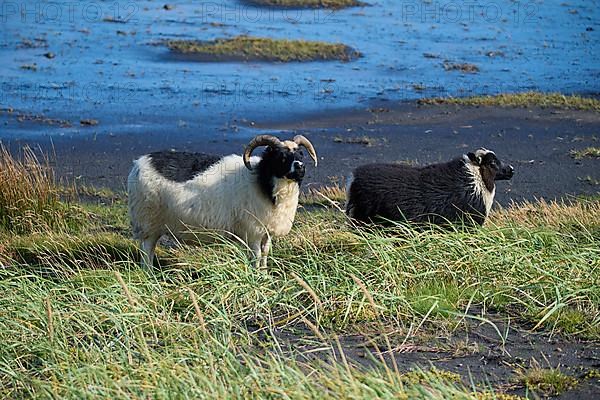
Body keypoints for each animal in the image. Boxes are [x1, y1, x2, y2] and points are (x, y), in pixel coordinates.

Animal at [127, 135, 318, 268]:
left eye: (301, 154)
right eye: (281, 157)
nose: (300, 167)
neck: (263, 180)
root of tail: (138, 163)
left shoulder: (266, 231)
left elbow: (265, 253)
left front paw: (264, 274)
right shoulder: (252, 230)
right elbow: (256, 255)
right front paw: (256, 275)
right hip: (148, 221)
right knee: (147, 250)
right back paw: (149, 273)